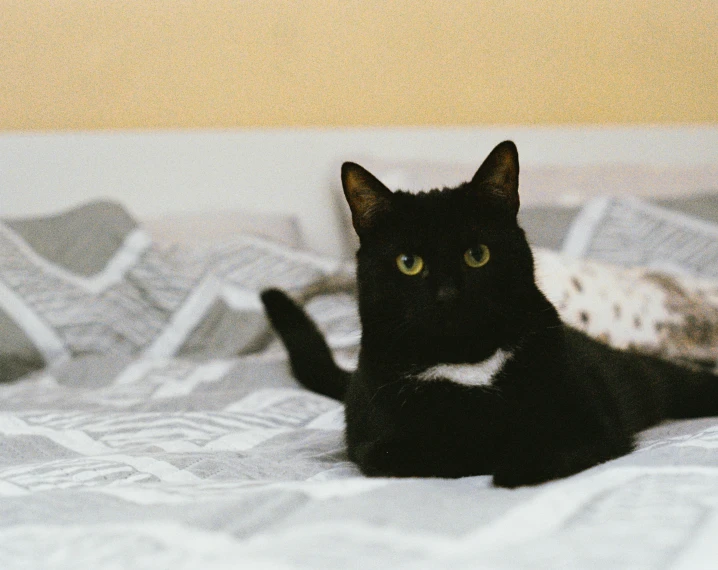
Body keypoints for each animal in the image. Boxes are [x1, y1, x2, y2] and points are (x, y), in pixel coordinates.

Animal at [260, 141, 718, 484]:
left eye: (477, 254)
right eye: (409, 262)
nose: (447, 294)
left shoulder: (594, 420)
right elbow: (448, 447)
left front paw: (517, 465)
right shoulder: (377, 446)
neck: (469, 360)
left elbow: (557, 441)